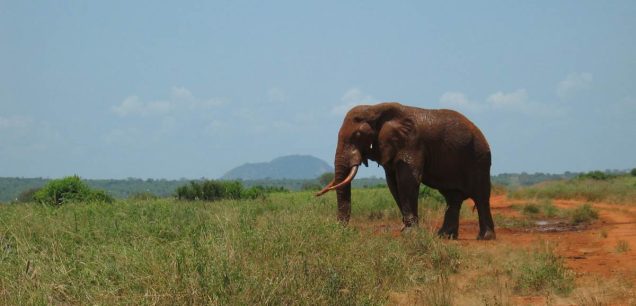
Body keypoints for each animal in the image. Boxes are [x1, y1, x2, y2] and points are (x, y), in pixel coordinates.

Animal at [316, 101, 494, 240]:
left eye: (359, 135)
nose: (343, 229)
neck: (375, 108)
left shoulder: (411, 143)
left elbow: (407, 181)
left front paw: (409, 233)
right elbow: (393, 183)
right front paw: (406, 229)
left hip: (479, 158)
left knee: (480, 196)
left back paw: (484, 237)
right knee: (452, 198)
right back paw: (444, 236)